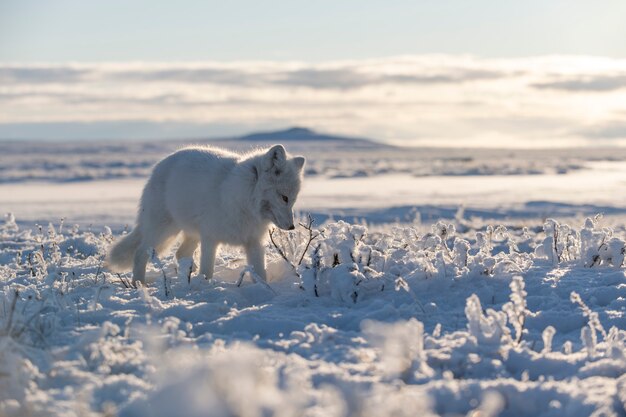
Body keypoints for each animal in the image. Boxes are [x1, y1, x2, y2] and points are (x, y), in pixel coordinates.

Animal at [106, 143, 304, 282]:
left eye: (293, 199)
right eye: (284, 197)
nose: (292, 227)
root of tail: (160, 165)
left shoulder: (253, 242)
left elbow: (260, 274)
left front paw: (264, 292)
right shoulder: (210, 238)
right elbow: (207, 271)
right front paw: (204, 286)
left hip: (190, 234)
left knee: (180, 254)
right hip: (163, 230)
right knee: (140, 253)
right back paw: (139, 284)